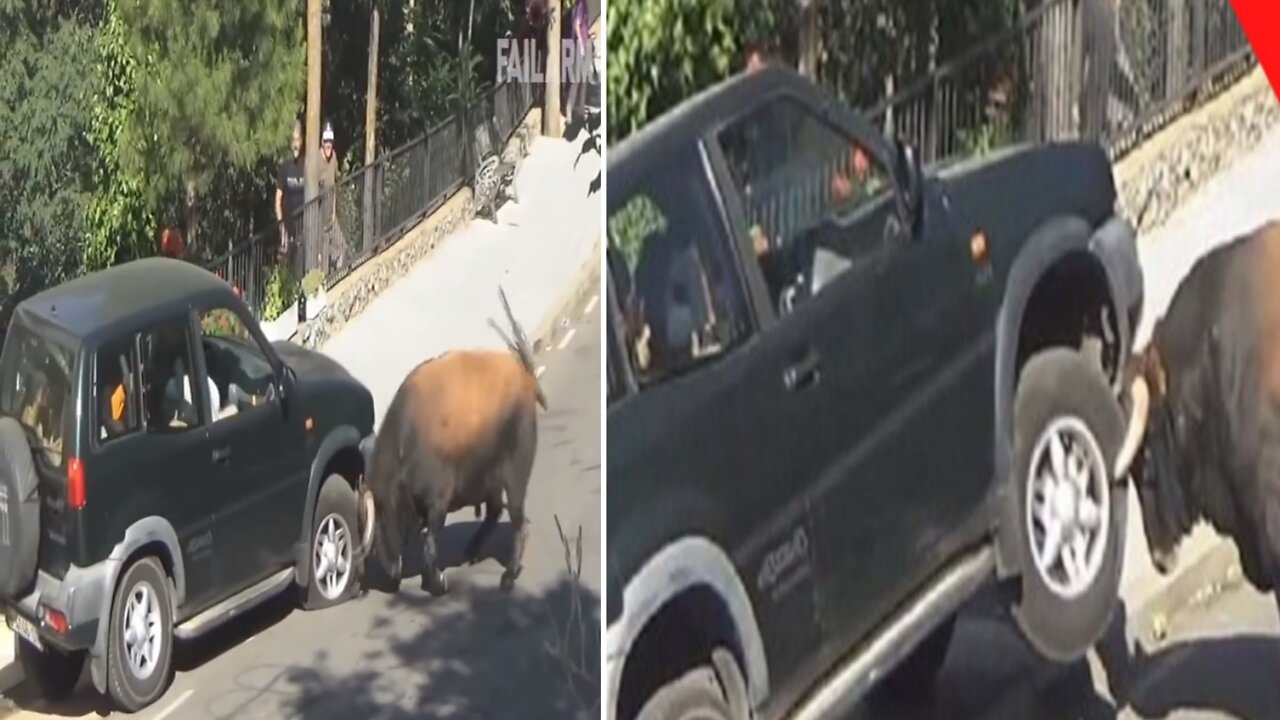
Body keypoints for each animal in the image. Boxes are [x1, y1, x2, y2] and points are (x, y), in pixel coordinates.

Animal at [353, 286, 547, 594]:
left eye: (381, 511)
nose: (391, 571)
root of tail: (525, 377)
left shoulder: (437, 504)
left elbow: (430, 545)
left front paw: (437, 581)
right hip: (491, 479)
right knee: (495, 511)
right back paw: (473, 550)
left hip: (515, 474)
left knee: (518, 522)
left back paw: (509, 574)